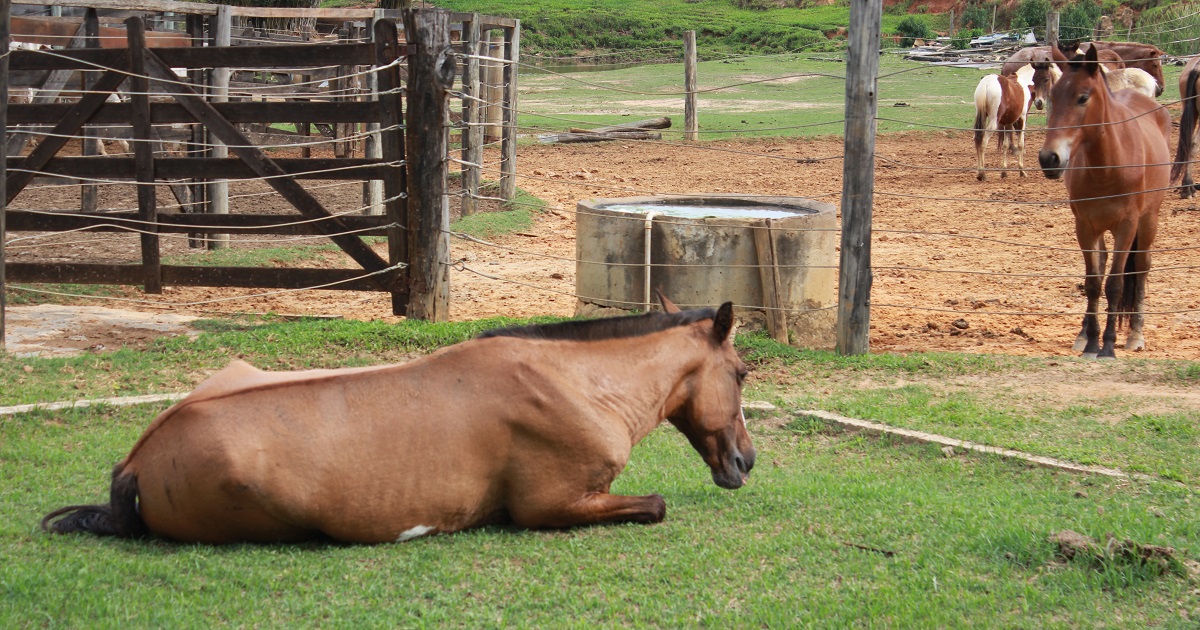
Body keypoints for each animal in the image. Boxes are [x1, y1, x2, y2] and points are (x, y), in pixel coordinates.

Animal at [49, 298, 758, 540]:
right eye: (743, 372)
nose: (745, 460)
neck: (574, 380)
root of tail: (139, 460)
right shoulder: (550, 505)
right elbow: (657, 504)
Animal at [1036, 46, 1166, 355]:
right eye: (1054, 95)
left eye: (1083, 97)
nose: (1049, 158)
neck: (1108, 164)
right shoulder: (1085, 226)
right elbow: (1094, 283)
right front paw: (1092, 341)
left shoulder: (1127, 226)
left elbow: (1115, 284)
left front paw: (1108, 346)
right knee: (1104, 262)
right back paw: (1085, 333)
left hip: (1148, 221)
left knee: (1141, 266)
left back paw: (1135, 334)